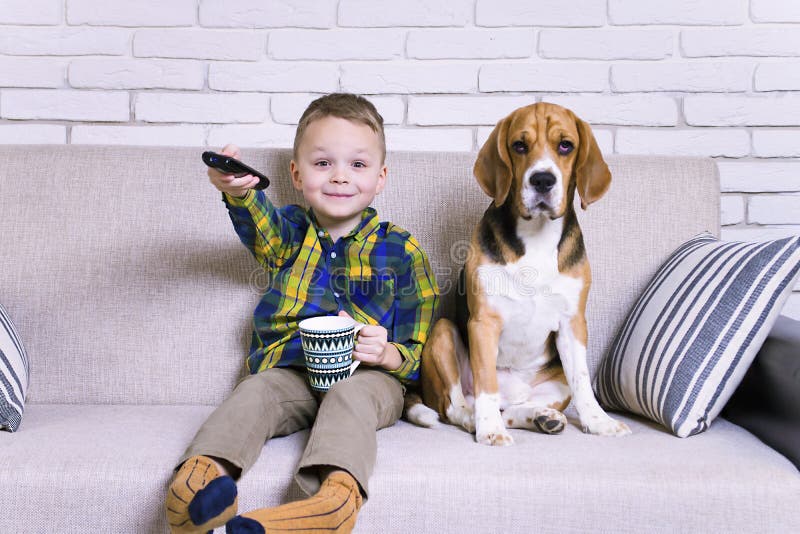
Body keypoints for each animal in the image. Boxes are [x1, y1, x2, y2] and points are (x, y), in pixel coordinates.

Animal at [410, 102, 628, 446]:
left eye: (566, 145)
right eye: (519, 146)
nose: (542, 180)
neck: (536, 235)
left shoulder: (573, 323)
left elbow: (583, 381)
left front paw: (599, 422)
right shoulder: (484, 323)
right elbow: (485, 384)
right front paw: (489, 430)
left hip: (556, 383)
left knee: (513, 410)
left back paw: (542, 417)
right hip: (443, 333)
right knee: (457, 407)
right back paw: (478, 420)